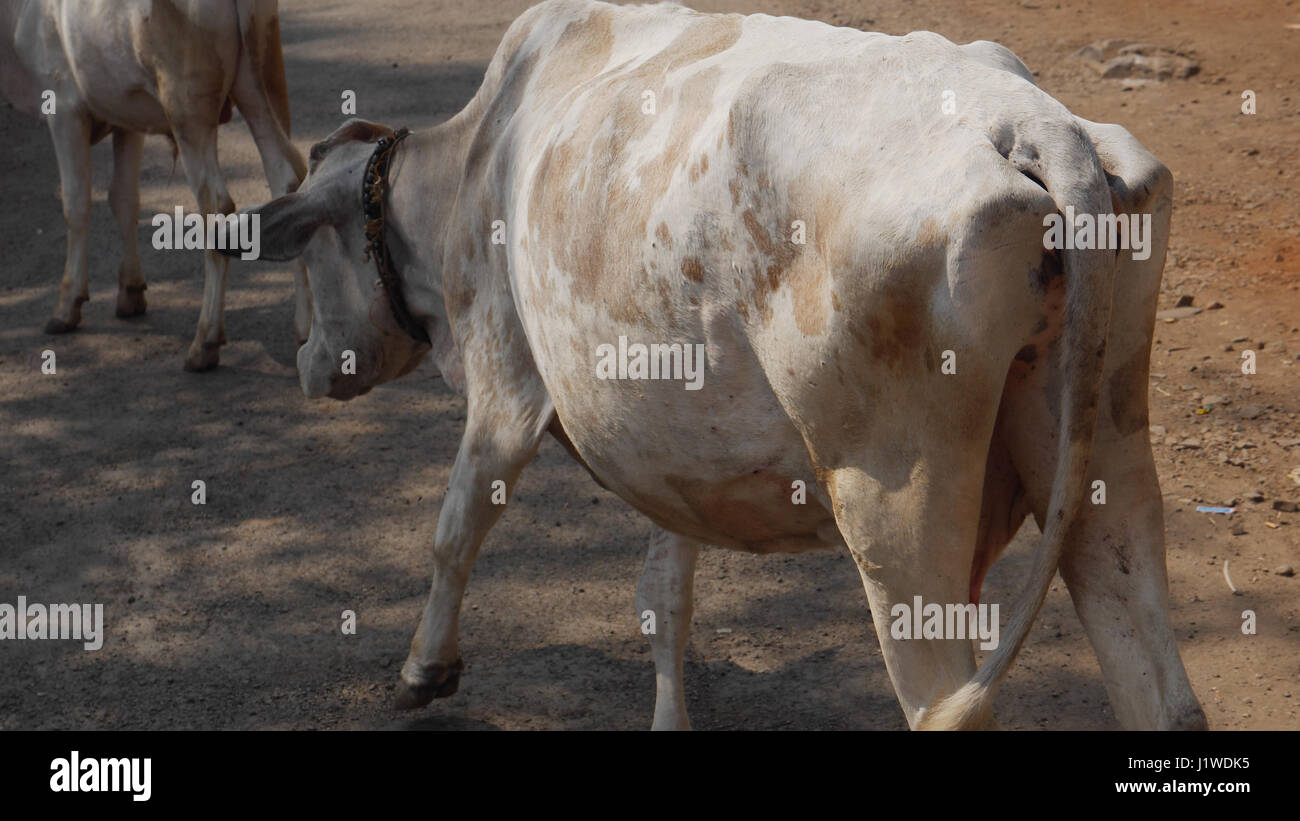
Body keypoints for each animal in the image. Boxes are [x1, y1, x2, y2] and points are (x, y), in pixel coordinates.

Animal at [1, 0, 310, 368]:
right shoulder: (126, 118)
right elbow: (123, 199)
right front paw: (130, 291)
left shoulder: (63, 107)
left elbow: (75, 204)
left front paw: (67, 305)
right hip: (261, 86)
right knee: (287, 182)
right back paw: (305, 331)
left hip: (189, 111)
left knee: (216, 205)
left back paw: (205, 341)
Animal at [228, 0, 1201, 732]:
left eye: (307, 260)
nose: (309, 363)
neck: (478, 157)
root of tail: (1032, 126)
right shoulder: (672, 451)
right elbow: (665, 596)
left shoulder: (506, 384)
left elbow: (455, 528)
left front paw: (424, 669)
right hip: (1107, 452)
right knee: (1156, 682)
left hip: (895, 505)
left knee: (942, 700)